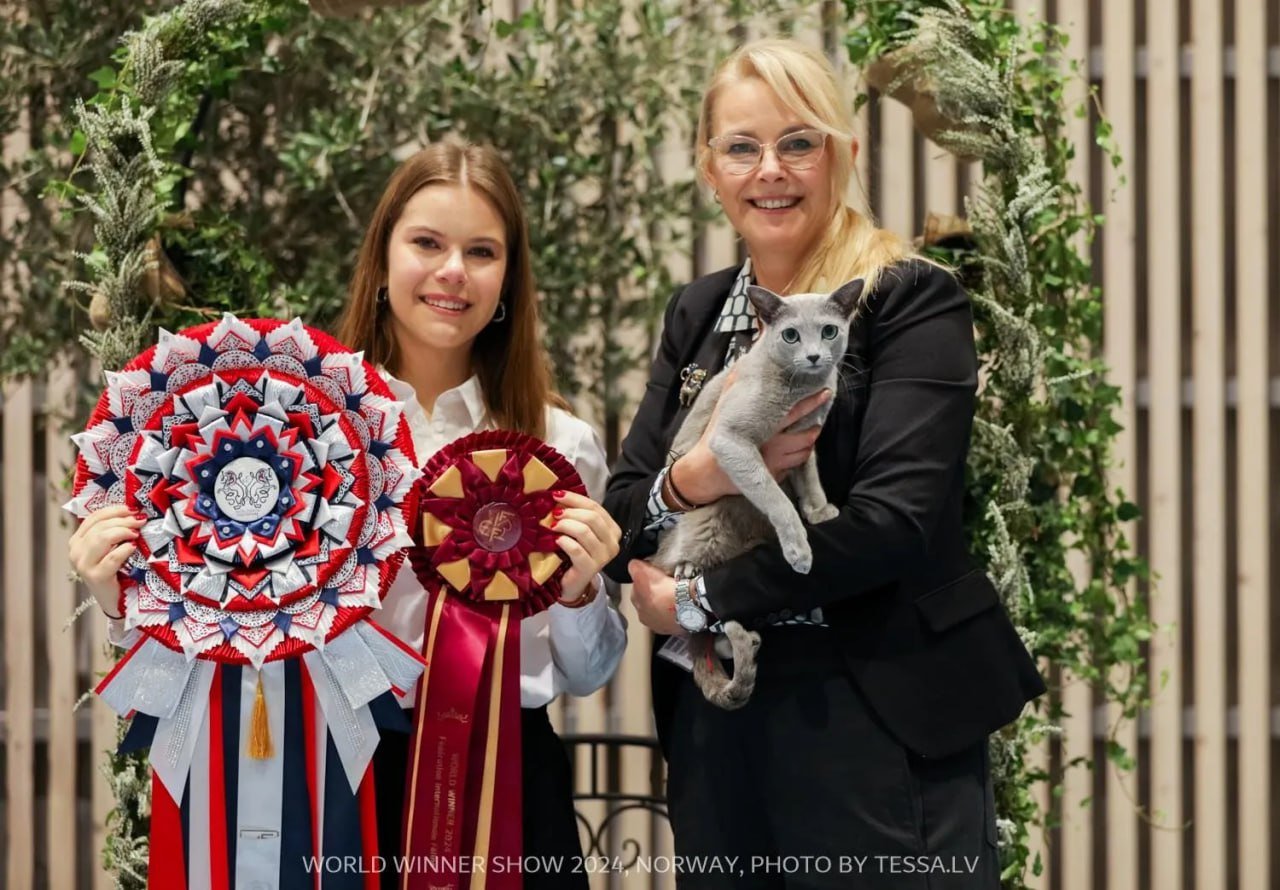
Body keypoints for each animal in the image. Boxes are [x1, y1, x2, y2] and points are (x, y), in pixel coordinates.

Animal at [655, 279, 865, 712]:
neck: (801, 391)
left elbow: (809, 477)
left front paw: (819, 511)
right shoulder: (731, 441)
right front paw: (800, 550)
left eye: (829, 331)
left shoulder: (805, 440)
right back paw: (688, 570)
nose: (814, 355)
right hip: (706, 520)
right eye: (791, 335)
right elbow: (774, 496)